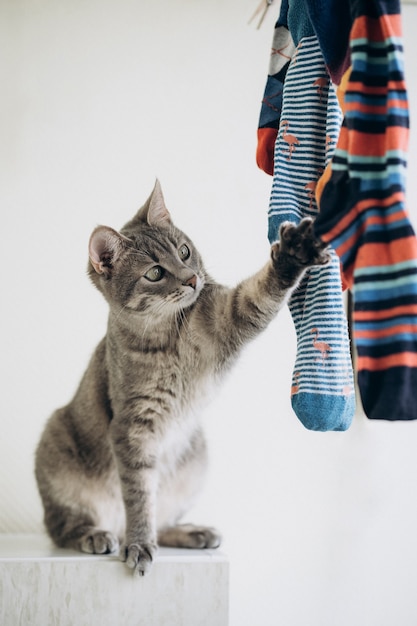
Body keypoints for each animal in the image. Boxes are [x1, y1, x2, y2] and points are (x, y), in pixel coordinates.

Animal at [35, 178, 328, 572]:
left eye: (185, 251)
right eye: (155, 272)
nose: (191, 279)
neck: (169, 337)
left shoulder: (228, 314)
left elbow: (259, 292)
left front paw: (293, 254)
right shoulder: (133, 426)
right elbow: (139, 496)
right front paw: (139, 543)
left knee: (163, 521)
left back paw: (191, 532)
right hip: (57, 448)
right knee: (63, 526)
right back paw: (95, 535)